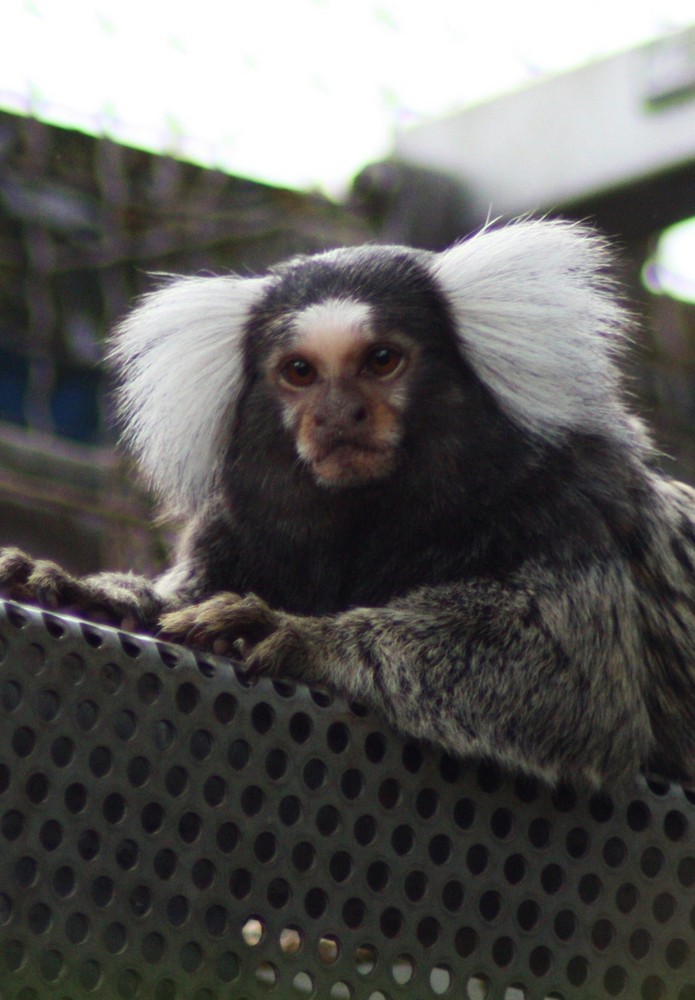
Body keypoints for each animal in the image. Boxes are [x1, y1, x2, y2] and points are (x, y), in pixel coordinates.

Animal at [1, 221, 695, 788]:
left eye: (382, 361)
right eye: (300, 372)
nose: (338, 416)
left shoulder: (567, 503)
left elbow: (575, 685)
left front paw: (296, 635)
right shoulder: (239, 530)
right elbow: (179, 598)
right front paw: (89, 591)